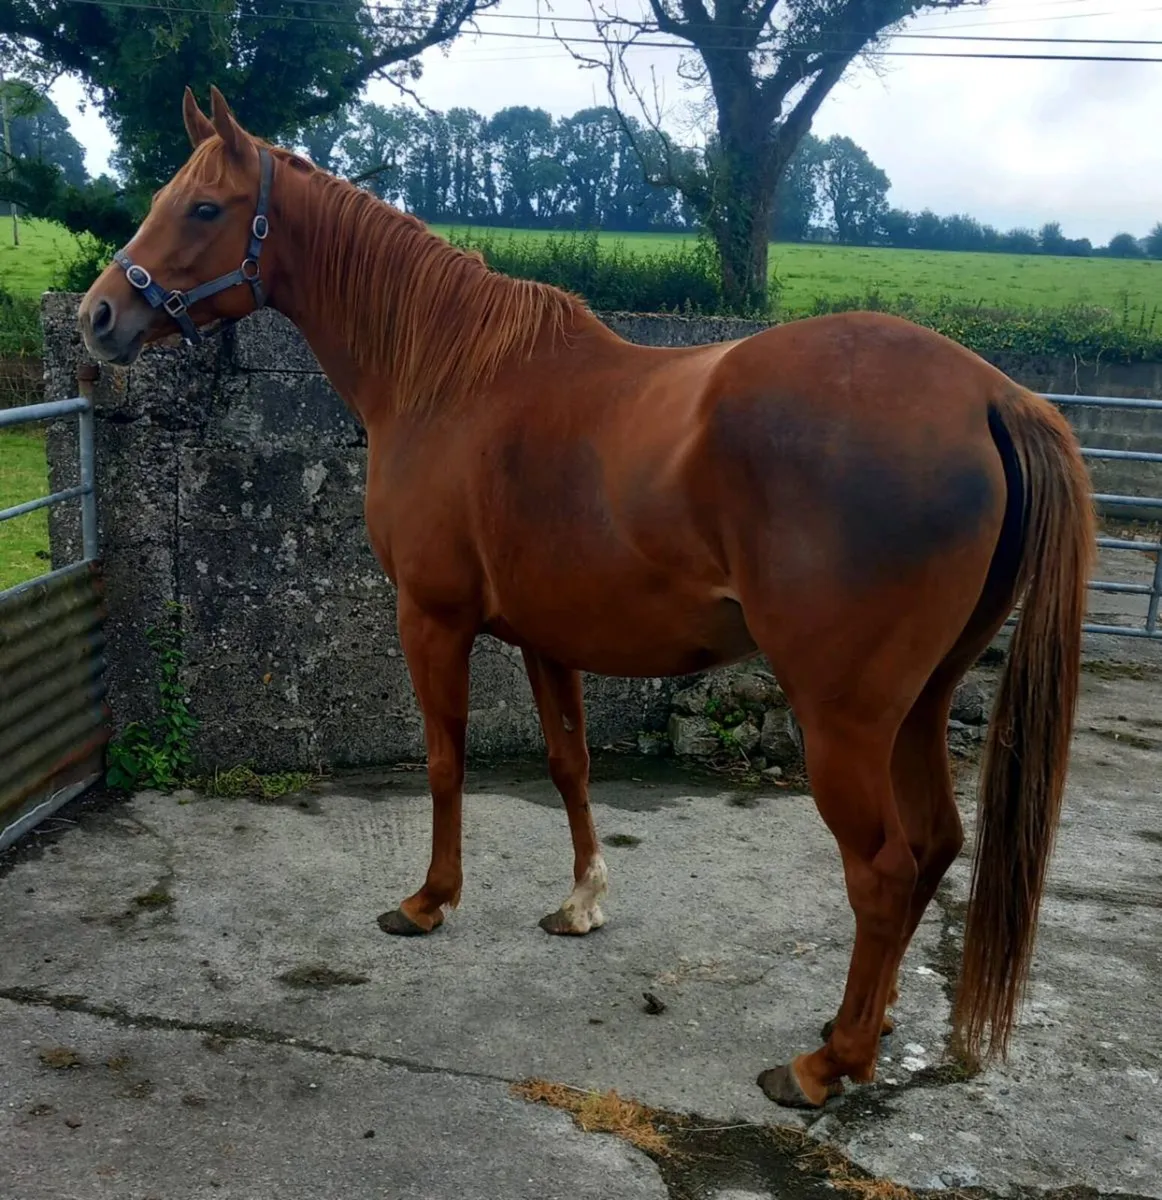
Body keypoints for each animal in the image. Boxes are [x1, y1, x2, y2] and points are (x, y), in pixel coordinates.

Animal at [78, 85, 1096, 1110]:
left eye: (204, 208)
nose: (97, 315)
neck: (450, 377)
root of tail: (992, 395)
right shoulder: (546, 637)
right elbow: (569, 765)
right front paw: (581, 903)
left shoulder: (432, 621)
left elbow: (444, 763)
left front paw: (429, 901)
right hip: (920, 705)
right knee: (936, 845)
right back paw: (868, 1025)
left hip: (843, 719)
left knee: (884, 869)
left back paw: (826, 1064)